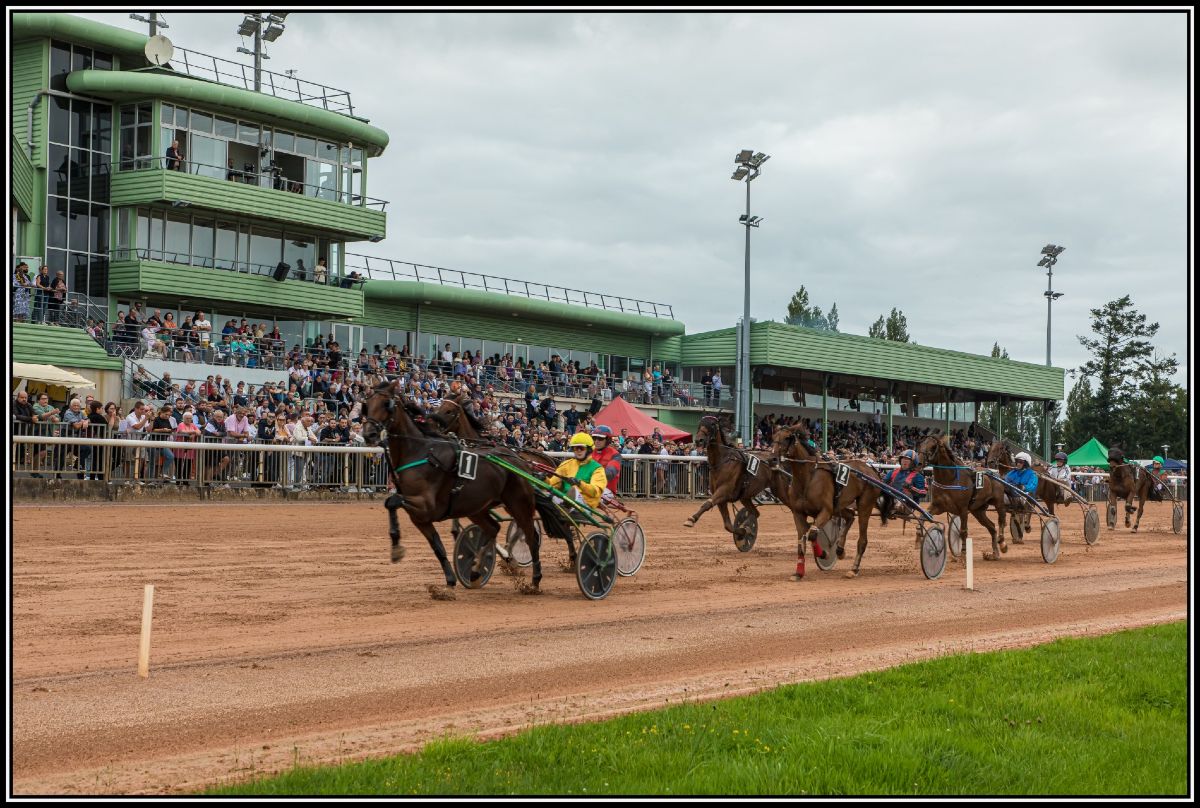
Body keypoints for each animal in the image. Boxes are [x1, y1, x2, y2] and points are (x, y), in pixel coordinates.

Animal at [355, 379, 544, 593]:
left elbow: (393, 501)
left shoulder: (426, 506)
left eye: (386, 404)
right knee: (493, 528)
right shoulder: (419, 516)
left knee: (530, 536)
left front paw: (396, 549)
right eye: (367, 405)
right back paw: (476, 570)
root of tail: (521, 461)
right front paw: (450, 579)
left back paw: (535, 579)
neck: (421, 452)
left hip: (518, 503)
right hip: (477, 507)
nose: (369, 434)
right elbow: (437, 546)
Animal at [768, 422, 892, 581]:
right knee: (850, 516)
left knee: (862, 539)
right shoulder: (798, 513)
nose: (772, 459)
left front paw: (823, 554)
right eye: (773, 437)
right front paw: (798, 573)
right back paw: (840, 550)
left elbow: (812, 534)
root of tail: (872, 471)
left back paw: (854, 569)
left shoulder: (826, 511)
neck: (808, 478)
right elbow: (801, 542)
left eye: (787, 438)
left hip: (865, 504)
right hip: (839, 505)